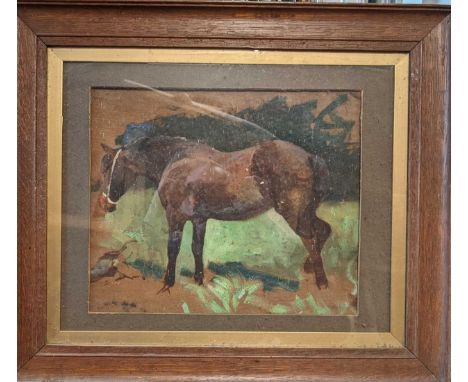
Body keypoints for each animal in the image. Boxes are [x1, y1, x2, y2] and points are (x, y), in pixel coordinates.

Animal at [99, 137, 332, 292]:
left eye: (109, 166)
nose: (103, 204)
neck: (176, 160)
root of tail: (310, 157)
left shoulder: (176, 217)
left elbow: (173, 249)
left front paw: (168, 283)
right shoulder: (199, 220)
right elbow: (197, 248)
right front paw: (198, 280)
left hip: (294, 214)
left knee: (310, 239)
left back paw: (321, 282)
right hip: (307, 212)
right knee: (323, 231)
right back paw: (310, 268)